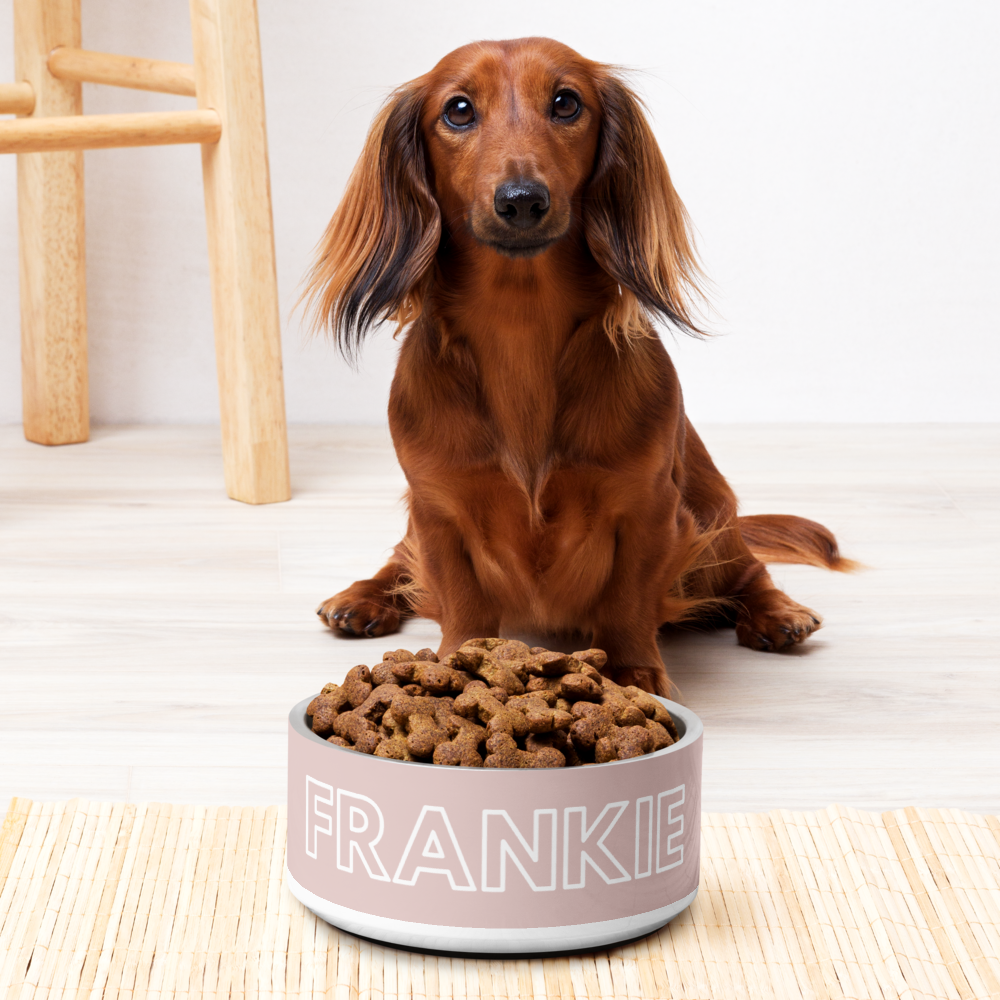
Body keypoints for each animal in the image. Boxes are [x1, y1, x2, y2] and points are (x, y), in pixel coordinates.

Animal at [304, 39, 852, 696]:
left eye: (566, 102)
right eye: (458, 110)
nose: (521, 200)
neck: (521, 328)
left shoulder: (649, 508)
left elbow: (627, 599)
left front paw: (634, 672)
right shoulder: (438, 509)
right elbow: (460, 599)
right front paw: (457, 664)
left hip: (711, 516)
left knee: (748, 570)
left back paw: (777, 613)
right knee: (399, 561)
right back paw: (362, 597)